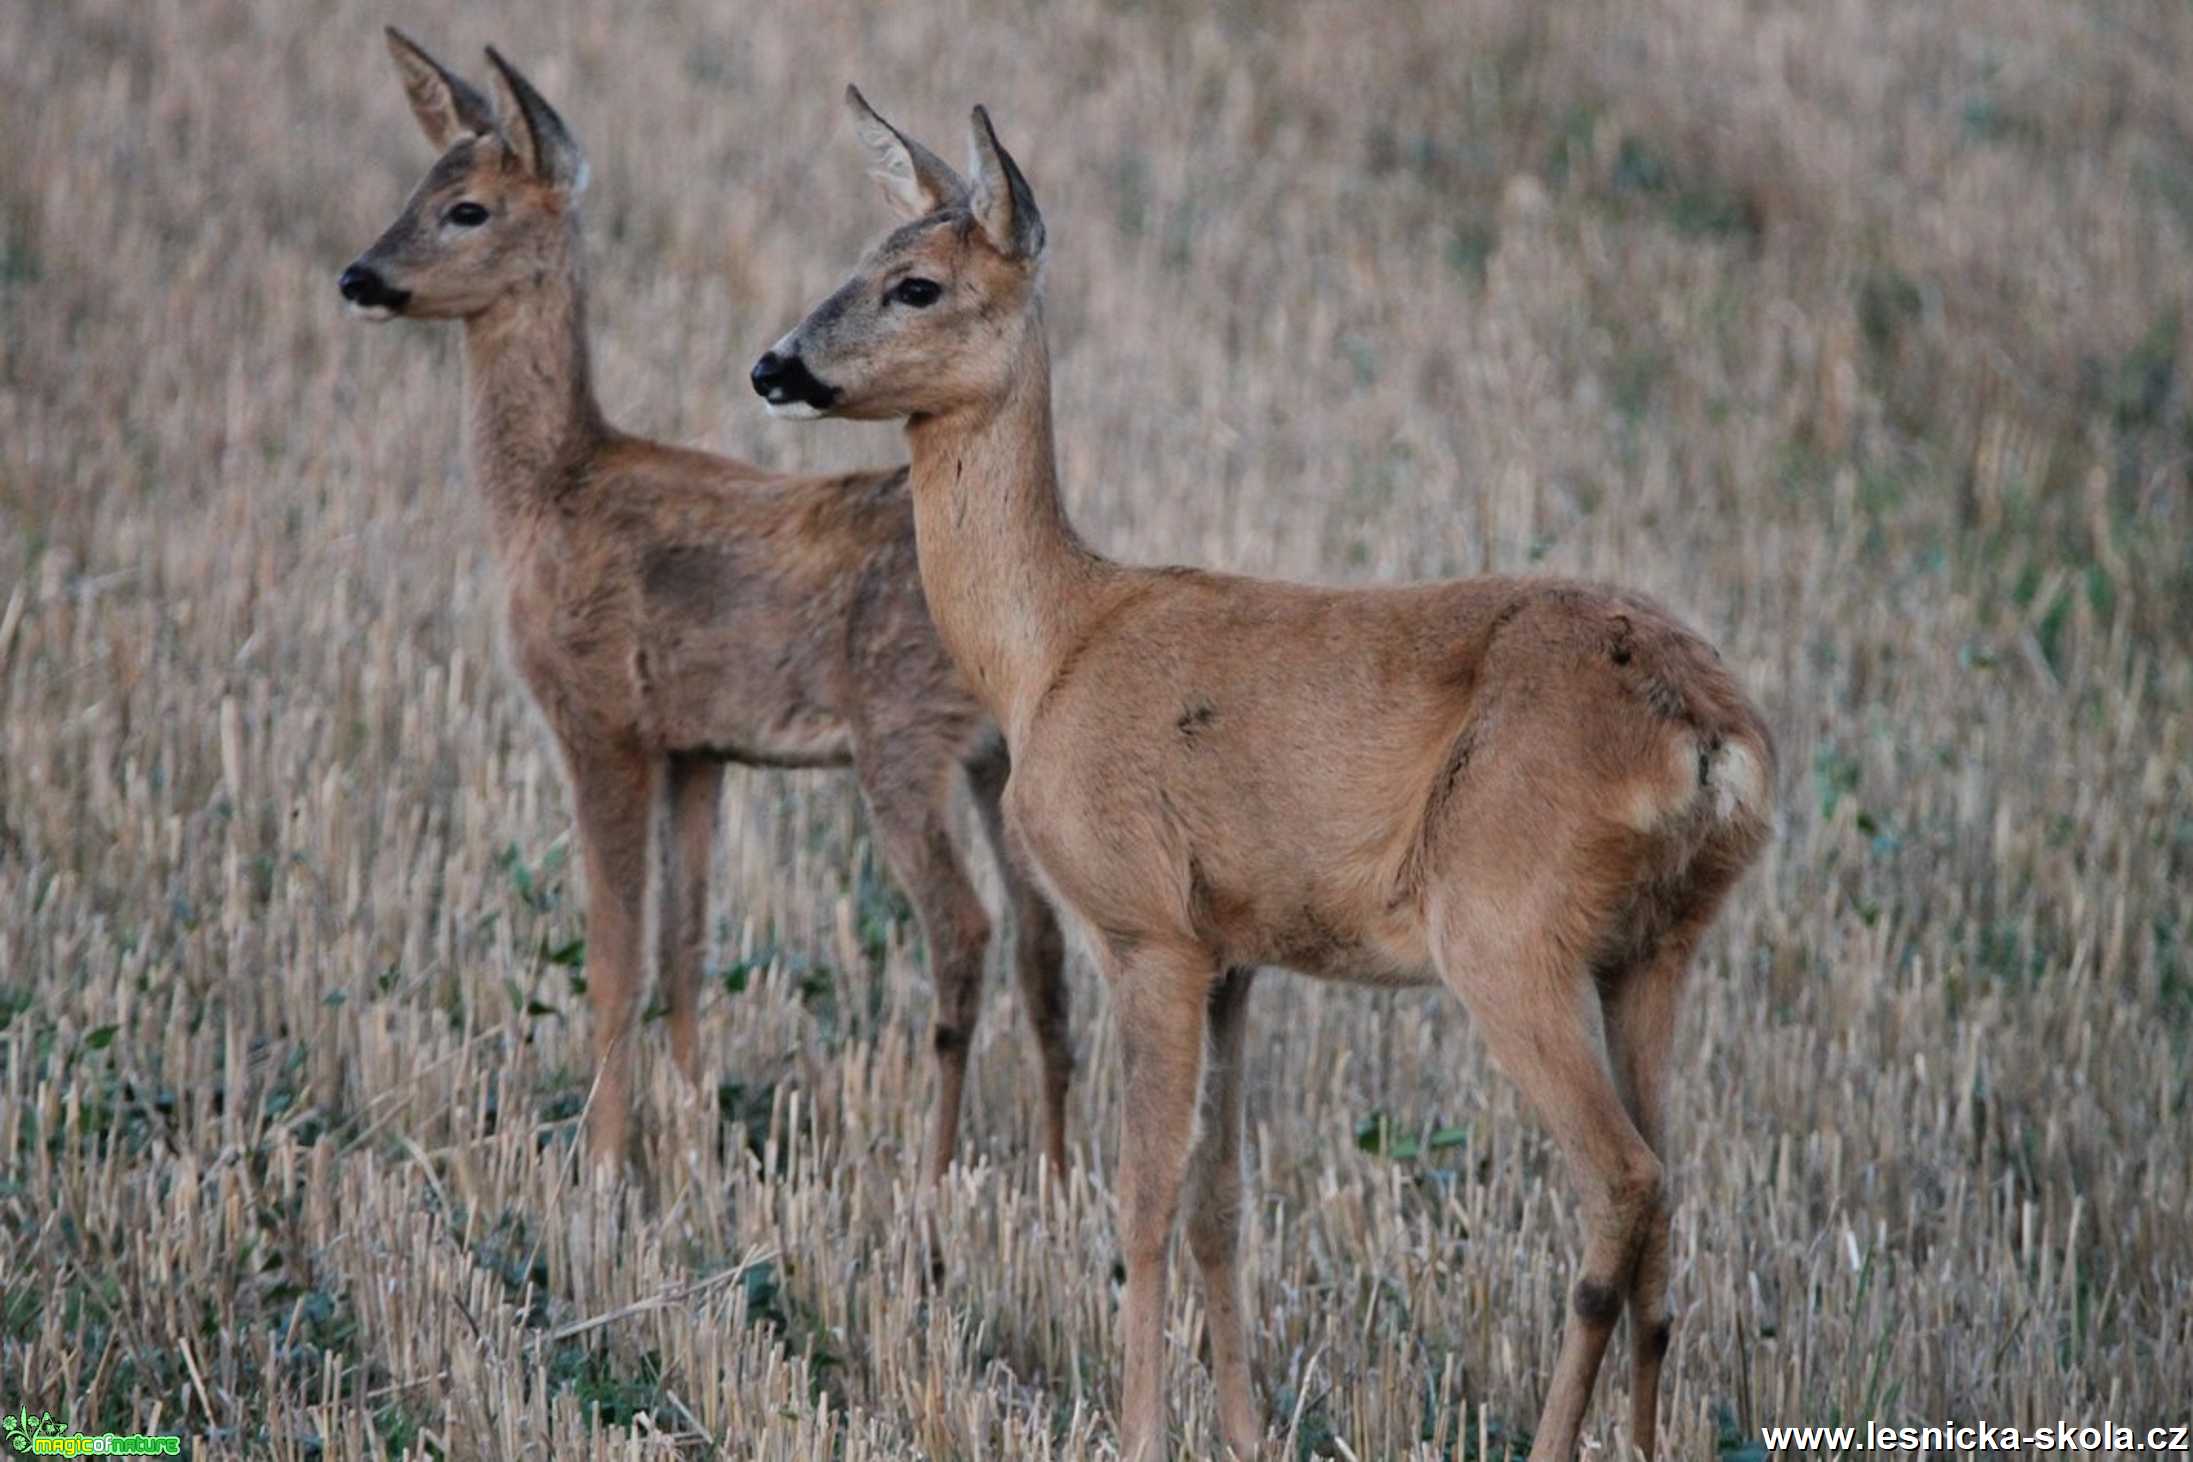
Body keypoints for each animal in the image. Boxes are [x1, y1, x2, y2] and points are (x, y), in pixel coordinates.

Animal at [331, 31, 1070, 1174]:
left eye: (468, 210)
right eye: (418, 186)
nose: (361, 276)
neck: (552, 494)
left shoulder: (600, 715)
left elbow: (614, 956)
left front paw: (601, 1162)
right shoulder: (698, 746)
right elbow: (684, 946)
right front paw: (687, 1131)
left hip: (899, 736)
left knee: (964, 932)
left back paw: (939, 1170)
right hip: (991, 760)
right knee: (1043, 944)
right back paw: (1059, 1172)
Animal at [750, 94, 1763, 1462]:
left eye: (917, 284)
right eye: (864, 252)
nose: (774, 366)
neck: (1051, 644)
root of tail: (1708, 735)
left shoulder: (1148, 926)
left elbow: (1141, 1197)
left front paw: (1135, 1429)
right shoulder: (1236, 951)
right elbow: (1221, 1202)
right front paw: (1239, 1425)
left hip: (1508, 926)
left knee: (1623, 1180)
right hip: (1656, 946)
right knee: (1673, 1200)